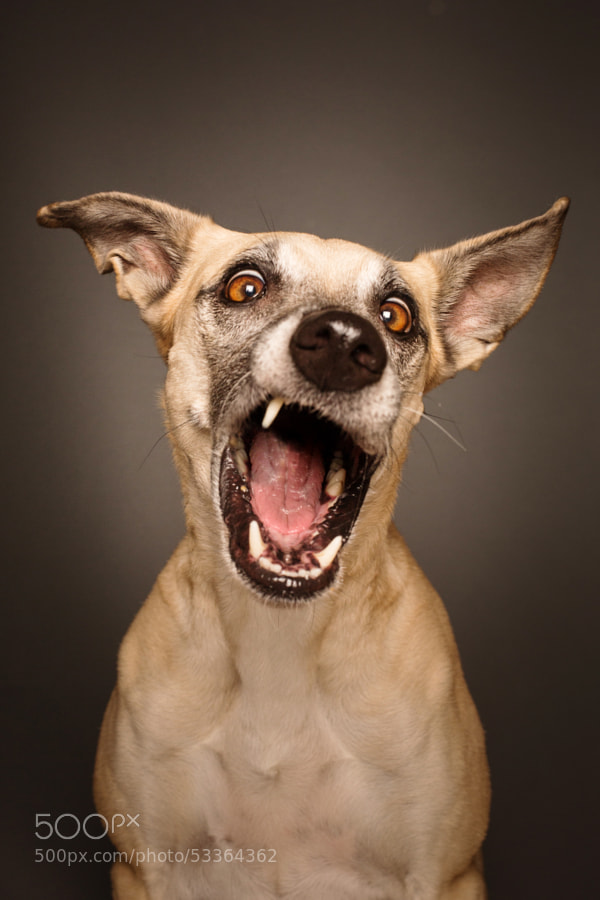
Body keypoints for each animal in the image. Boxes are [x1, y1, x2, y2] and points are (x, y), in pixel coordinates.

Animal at [36, 193, 568, 896]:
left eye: (396, 315)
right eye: (245, 286)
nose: (344, 342)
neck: (278, 638)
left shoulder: (445, 874)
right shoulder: (143, 867)